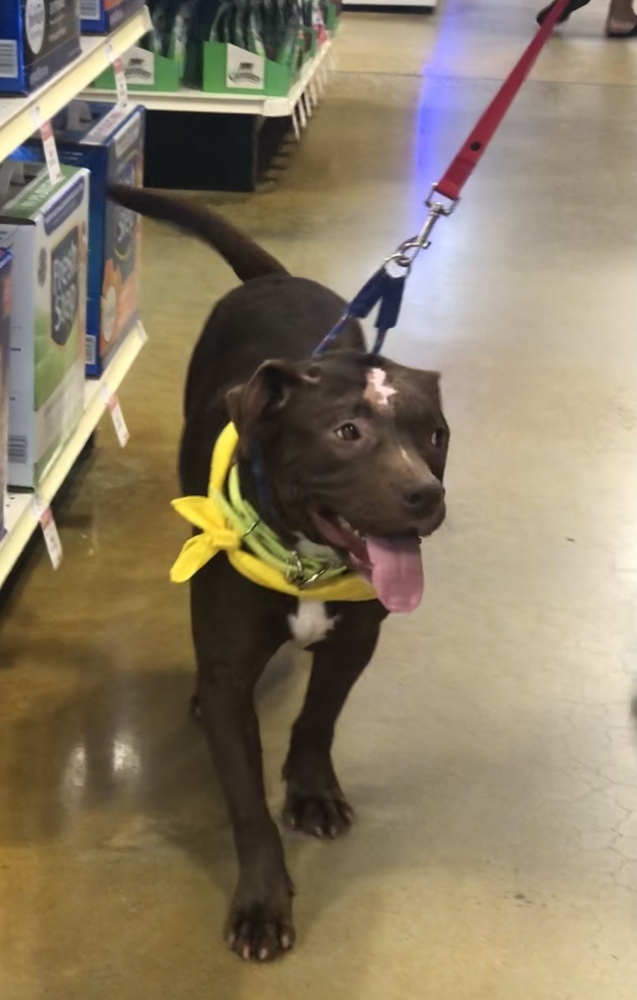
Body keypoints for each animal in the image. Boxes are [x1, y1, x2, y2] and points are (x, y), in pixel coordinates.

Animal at [109, 188, 450, 960]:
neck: (304, 561)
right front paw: (262, 903)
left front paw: (312, 791)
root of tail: (275, 277)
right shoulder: (231, 673)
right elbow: (245, 803)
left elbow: (318, 720)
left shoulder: (355, 643)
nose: (426, 495)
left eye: (435, 434)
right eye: (346, 432)